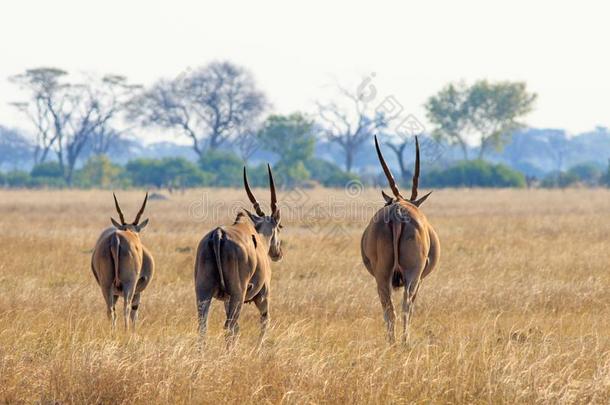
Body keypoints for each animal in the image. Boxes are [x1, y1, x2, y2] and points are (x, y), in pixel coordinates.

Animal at [92, 193, 156, 332]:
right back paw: (126, 332)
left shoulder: (114, 293)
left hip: (106, 285)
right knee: (126, 308)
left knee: (110, 310)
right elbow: (134, 313)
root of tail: (115, 238)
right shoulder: (138, 291)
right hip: (129, 285)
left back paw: (113, 332)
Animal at [194, 164, 282, 348]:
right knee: (229, 326)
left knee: (203, 325)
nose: (278, 253)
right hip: (238, 295)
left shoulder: (226, 299)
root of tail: (218, 234)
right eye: (280, 226)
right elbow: (264, 322)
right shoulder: (263, 296)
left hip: (204, 293)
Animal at [358, 137, 440, 344]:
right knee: (405, 306)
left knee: (389, 308)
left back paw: (392, 341)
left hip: (382, 275)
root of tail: (398, 212)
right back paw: (403, 341)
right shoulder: (419, 279)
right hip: (412, 274)